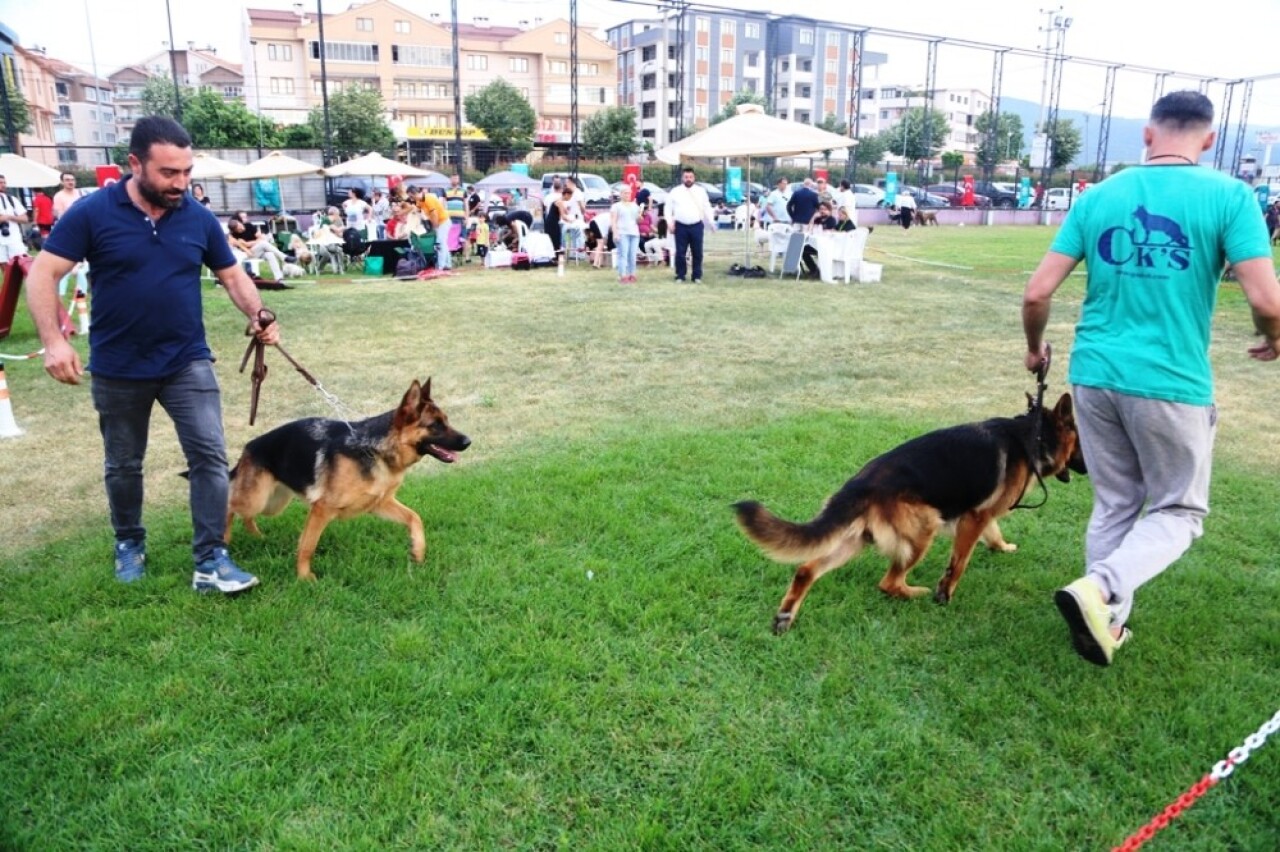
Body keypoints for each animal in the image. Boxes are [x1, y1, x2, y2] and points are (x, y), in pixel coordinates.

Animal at [225, 378, 471, 578]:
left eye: (446, 421)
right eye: (435, 425)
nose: (468, 441)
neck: (374, 449)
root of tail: (248, 448)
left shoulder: (379, 504)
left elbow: (414, 517)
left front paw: (418, 551)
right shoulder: (322, 510)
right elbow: (307, 546)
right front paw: (304, 578)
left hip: (273, 504)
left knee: (245, 516)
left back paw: (256, 537)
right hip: (256, 499)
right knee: (228, 505)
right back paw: (224, 540)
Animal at [737, 391, 1085, 629]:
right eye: (1082, 444)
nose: (1088, 469)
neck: (1035, 435)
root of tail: (859, 484)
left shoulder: (980, 514)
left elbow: (993, 532)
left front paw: (1002, 547)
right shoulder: (973, 517)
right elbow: (959, 563)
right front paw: (944, 594)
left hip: (856, 540)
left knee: (807, 569)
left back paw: (786, 614)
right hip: (923, 529)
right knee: (888, 583)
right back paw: (915, 592)